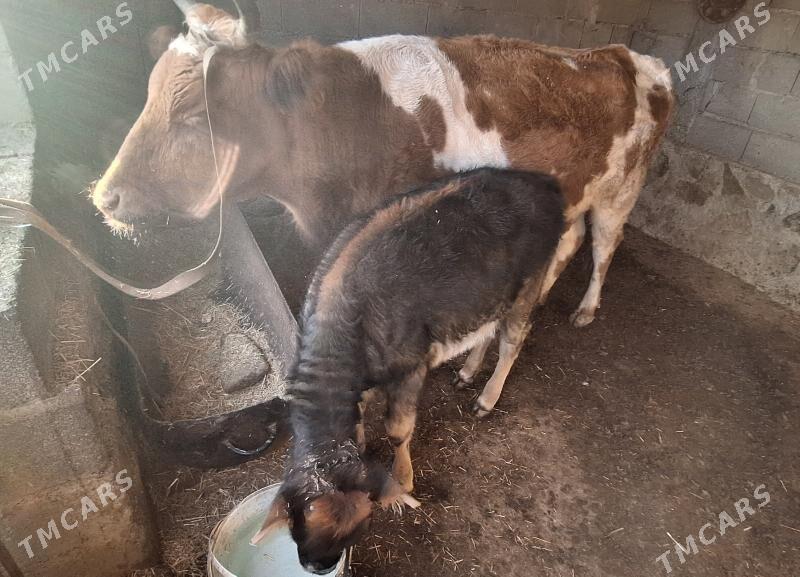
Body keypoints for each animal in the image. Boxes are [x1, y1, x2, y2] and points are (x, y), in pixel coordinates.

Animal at [91, 2, 673, 328]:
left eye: (191, 111)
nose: (104, 196)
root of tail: (624, 53)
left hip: (622, 190)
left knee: (604, 246)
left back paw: (585, 310)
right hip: (574, 191)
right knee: (571, 241)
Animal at [251, 168, 565, 574]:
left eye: (359, 526)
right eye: (298, 525)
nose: (318, 566)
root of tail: (542, 181)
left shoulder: (410, 368)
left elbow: (398, 430)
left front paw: (403, 476)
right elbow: (360, 419)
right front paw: (363, 444)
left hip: (529, 284)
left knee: (512, 341)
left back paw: (488, 397)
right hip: (488, 295)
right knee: (485, 331)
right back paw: (467, 372)